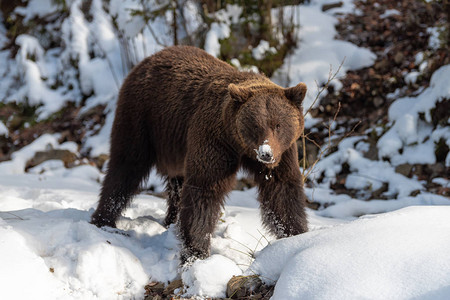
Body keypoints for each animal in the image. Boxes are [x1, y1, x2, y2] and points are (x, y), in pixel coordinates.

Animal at [91, 45, 310, 264]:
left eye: (278, 125)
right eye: (255, 125)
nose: (266, 154)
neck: (239, 145)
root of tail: (148, 59)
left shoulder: (284, 152)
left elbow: (282, 190)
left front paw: (296, 236)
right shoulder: (214, 141)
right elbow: (204, 190)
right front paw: (196, 252)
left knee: (176, 184)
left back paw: (171, 221)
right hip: (142, 118)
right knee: (126, 166)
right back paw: (104, 220)